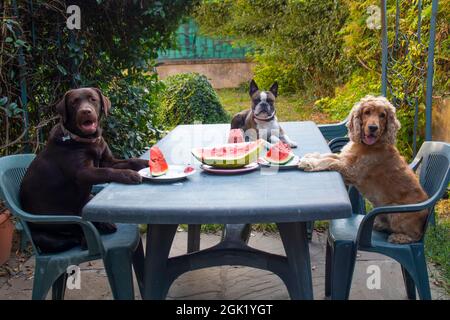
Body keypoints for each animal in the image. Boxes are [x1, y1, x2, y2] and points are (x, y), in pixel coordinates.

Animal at [300, 95, 428, 242]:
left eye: (382, 115)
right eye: (367, 112)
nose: (373, 128)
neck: (367, 145)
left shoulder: (351, 171)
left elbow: (329, 160)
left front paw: (308, 163)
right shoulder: (345, 158)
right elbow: (328, 155)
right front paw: (311, 156)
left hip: (396, 212)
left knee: (415, 235)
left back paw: (398, 237)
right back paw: (379, 225)